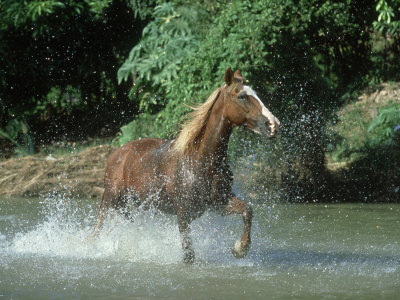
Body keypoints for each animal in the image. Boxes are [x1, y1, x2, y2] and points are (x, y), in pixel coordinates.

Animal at [91, 67, 280, 262]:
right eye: (242, 96)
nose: (273, 125)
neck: (201, 162)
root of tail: (117, 154)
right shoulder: (183, 214)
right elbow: (189, 255)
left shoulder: (220, 203)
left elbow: (247, 210)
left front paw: (239, 248)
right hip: (111, 200)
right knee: (96, 230)